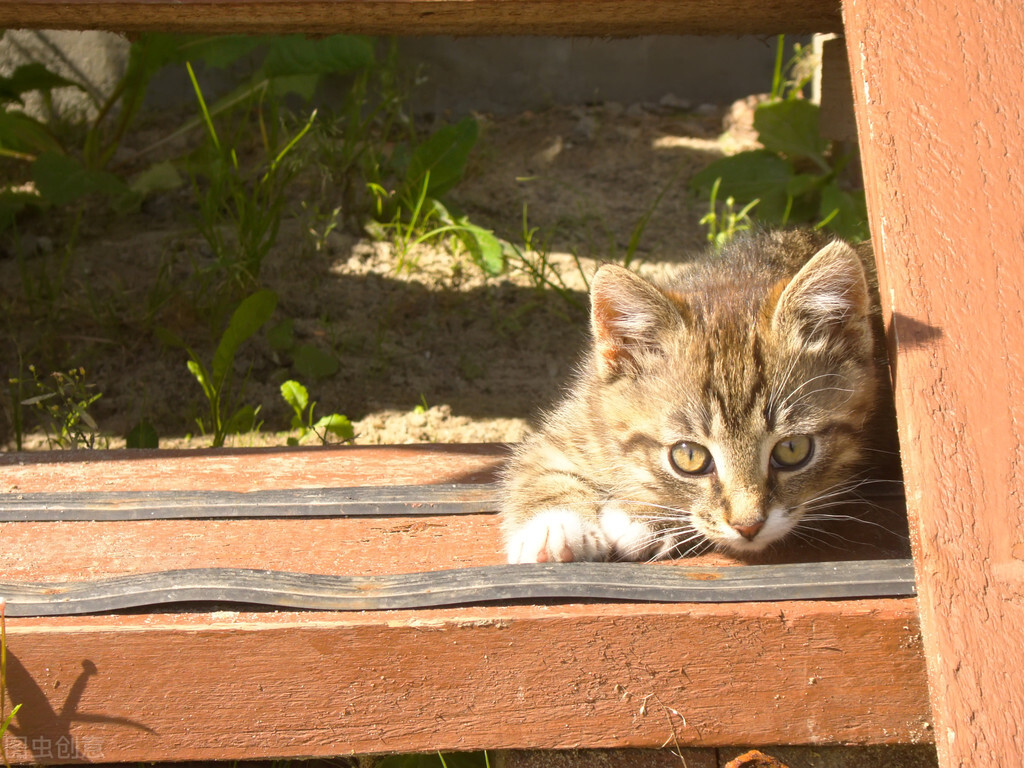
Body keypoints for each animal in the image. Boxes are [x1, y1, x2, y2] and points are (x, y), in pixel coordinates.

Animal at [499, 230, 892, 565]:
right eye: (689, 456)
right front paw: (553, 527)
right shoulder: (584, 413)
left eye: (793, 449)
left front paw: (642, 517)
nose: (749, 526)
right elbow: (537, 464)